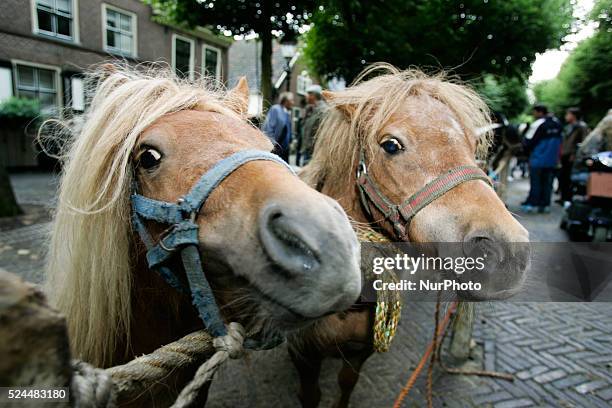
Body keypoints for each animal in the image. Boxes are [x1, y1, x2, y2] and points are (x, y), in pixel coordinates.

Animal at [292, 65, 532, 406]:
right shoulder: (303, 357)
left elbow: (346, 383)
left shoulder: (360, 353)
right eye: (391, 145)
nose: (508, 253)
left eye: (473, 146)